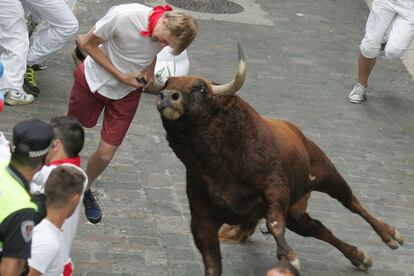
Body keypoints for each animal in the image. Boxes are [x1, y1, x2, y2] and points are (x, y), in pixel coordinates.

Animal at [155, 44, 404, 274]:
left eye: (201, 88)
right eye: (167, 84)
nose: (167, 96)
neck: (219, 170)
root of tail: (297, 131)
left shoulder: (276, 189)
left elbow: (274, 223)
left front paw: (288, 258)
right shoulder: (202, 220)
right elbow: (212, 264)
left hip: (327, 175)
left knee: (352, 203)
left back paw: (391, 235)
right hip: (295, 213)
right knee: (318, 229)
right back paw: (360, 257)